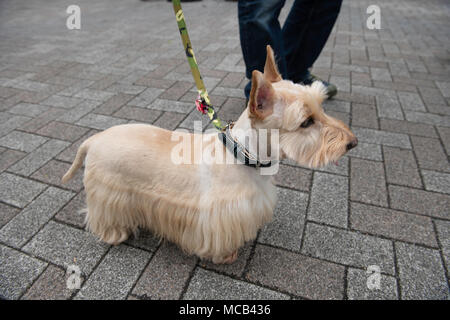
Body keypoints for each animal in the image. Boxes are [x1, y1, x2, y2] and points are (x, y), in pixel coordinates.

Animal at [62, 46, 358, 264]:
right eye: (306, 122)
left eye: (321, 107)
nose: (352, 143)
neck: (242, 155)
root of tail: (94, 140)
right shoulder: (219, 217)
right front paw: (226, 255)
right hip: (109, 194)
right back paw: (115, 233)